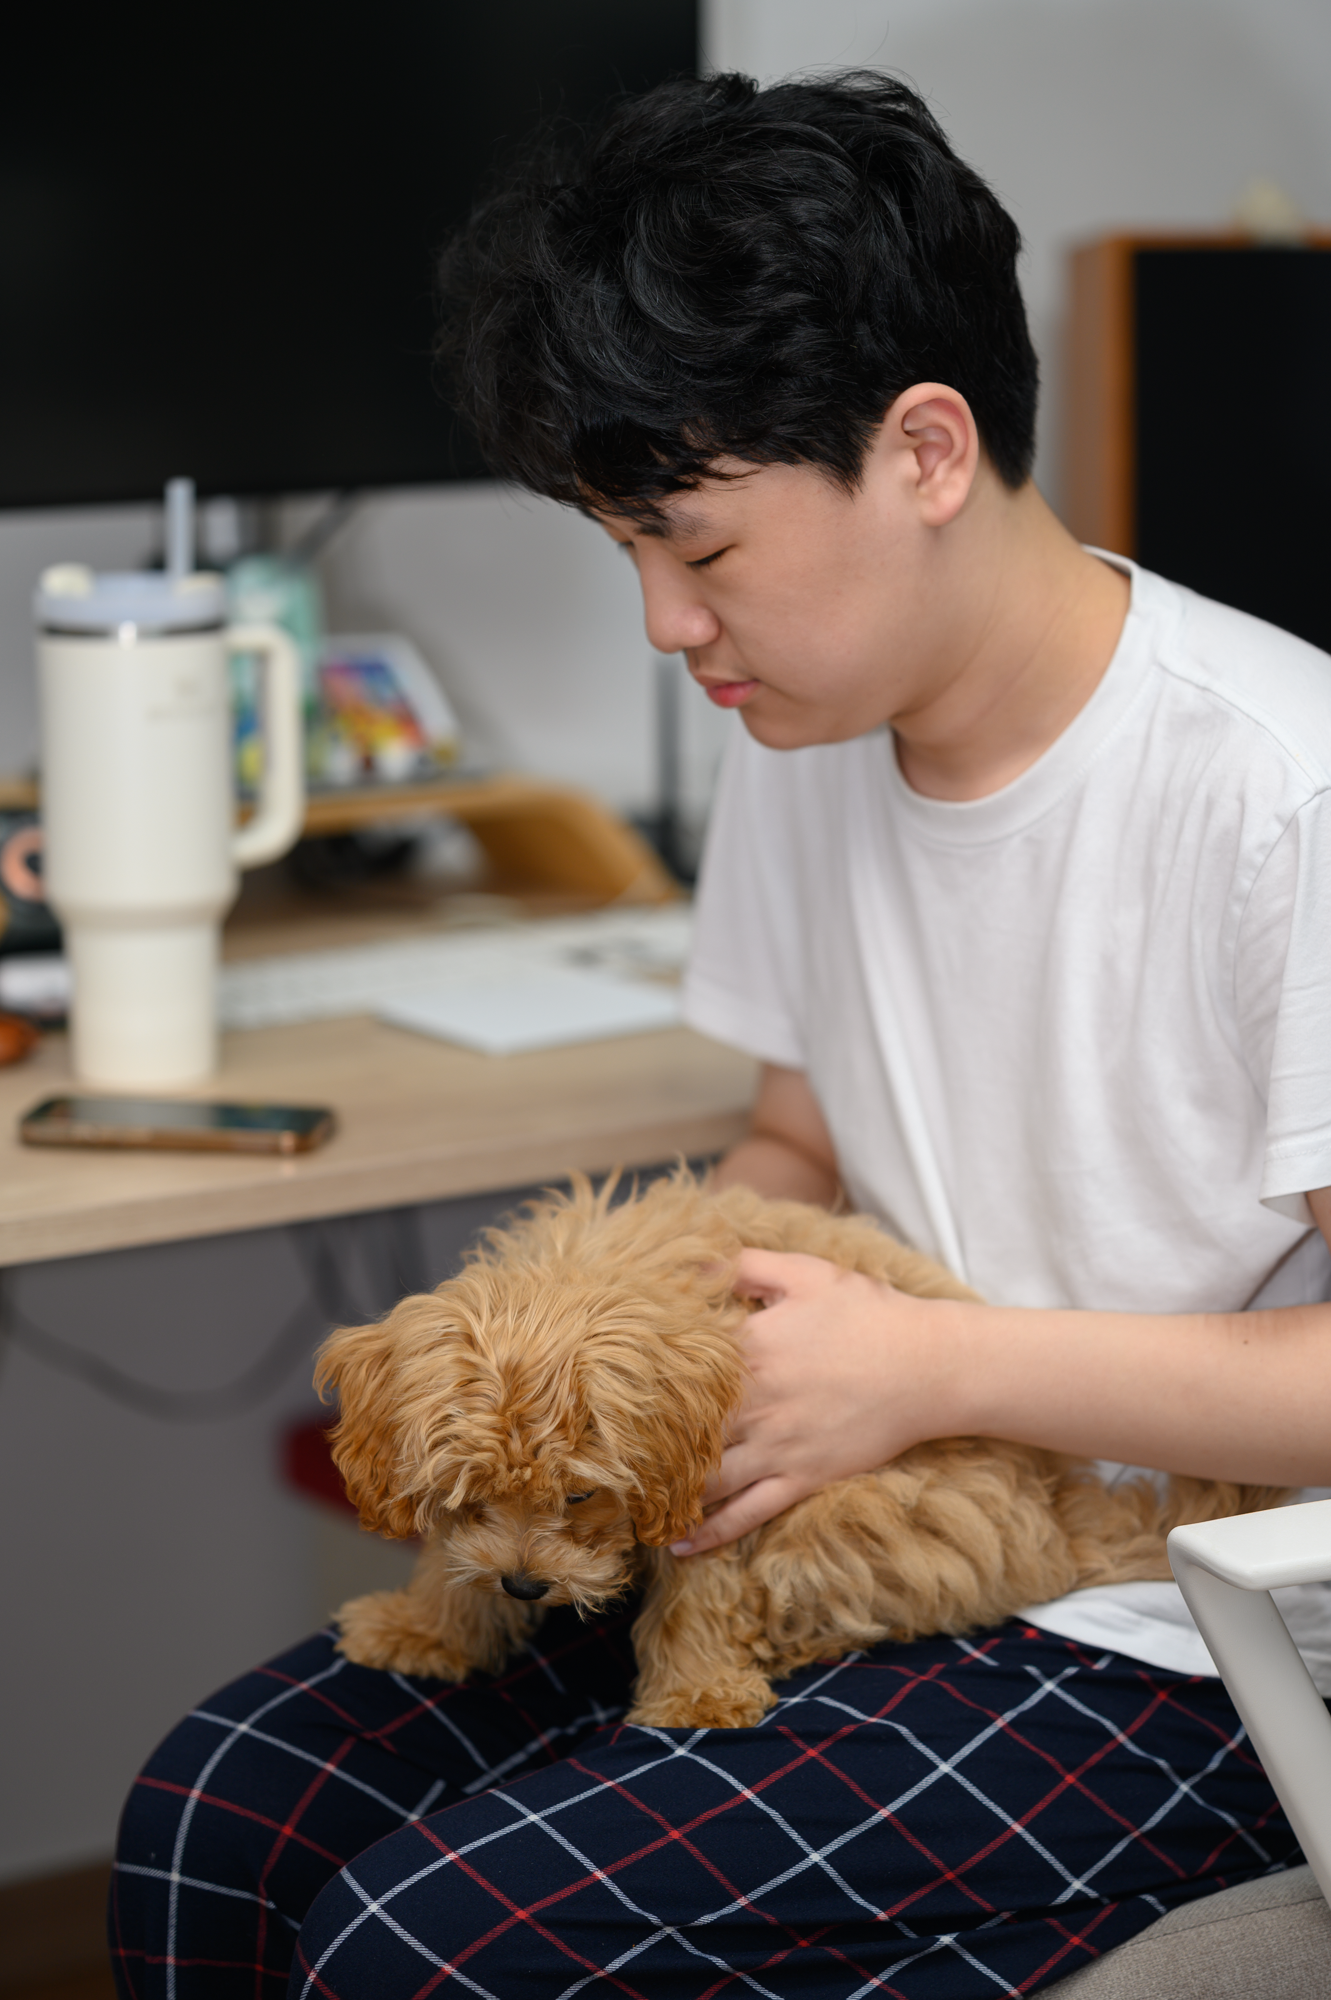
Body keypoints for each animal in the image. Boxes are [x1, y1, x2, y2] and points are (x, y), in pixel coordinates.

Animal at [316, 1170, 1285, 1729]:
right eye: (468, 1495)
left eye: (581, 1496)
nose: (525, 1585)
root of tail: (1062, 1523)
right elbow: (449, 1562)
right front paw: (424, 1628)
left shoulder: (727, 1484)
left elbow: (697, 1597)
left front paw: (696, 1695)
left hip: (841, 1513)